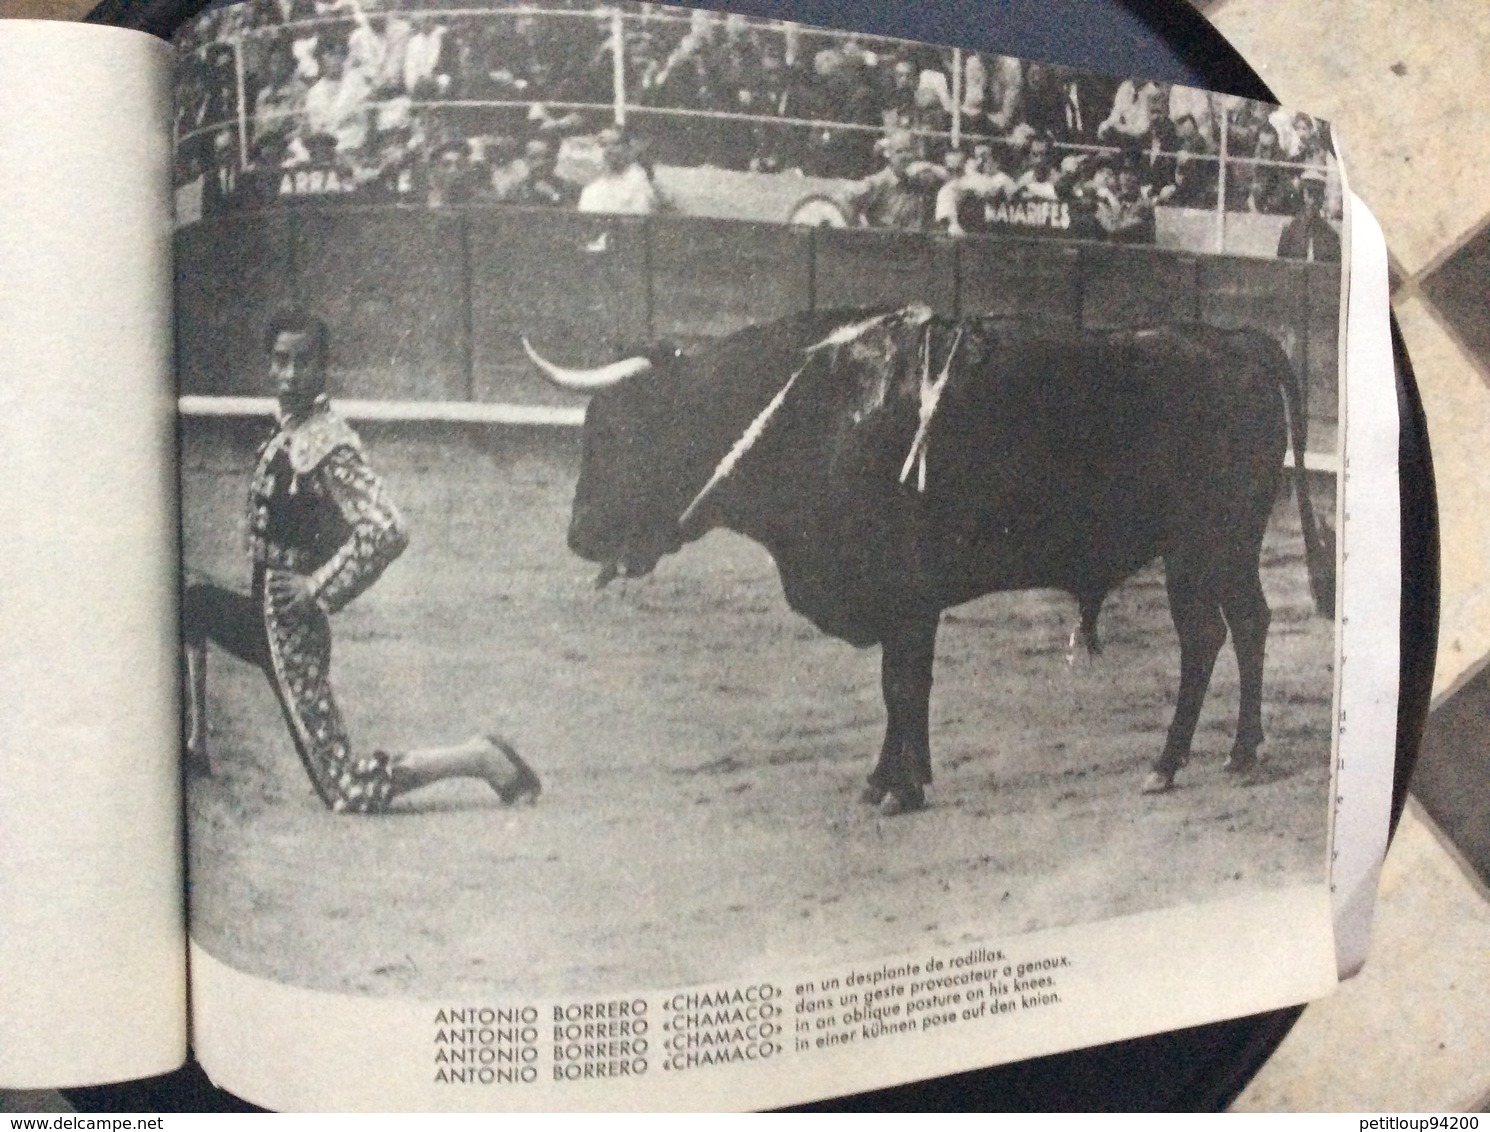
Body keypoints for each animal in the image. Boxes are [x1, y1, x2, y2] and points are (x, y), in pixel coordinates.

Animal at [521, 302, 1329, 816]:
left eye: (625, 432)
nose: (577, 534)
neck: (816, 415)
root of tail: (1239, 342)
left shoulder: (905, 596)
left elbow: (901, 686)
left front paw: (904, 789)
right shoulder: (899, 605)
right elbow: (898, 689)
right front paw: (887, 779)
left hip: (1210, 542)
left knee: (1224, 633)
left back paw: (1199, 759)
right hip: (1208, 550)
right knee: (1229, 631)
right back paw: (1208, 757)